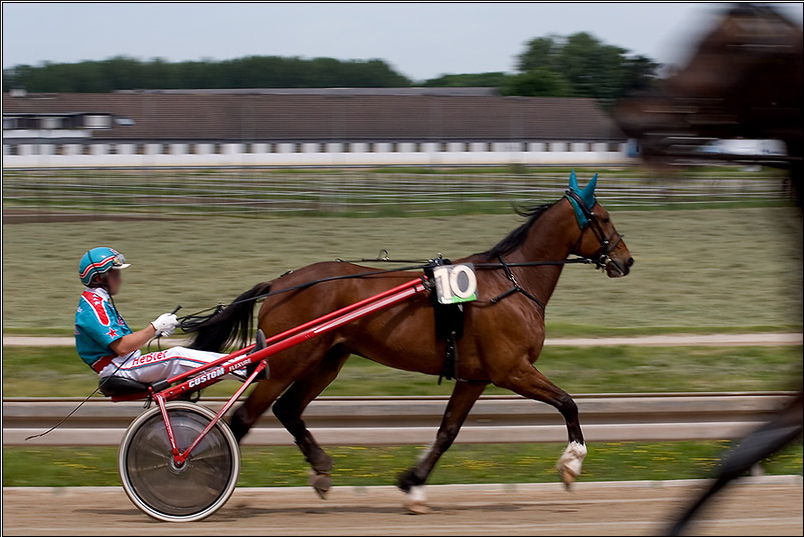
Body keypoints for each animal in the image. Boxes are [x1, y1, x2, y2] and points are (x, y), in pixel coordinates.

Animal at [188, 172, 636, 510]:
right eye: (604, 217)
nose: (626, 260)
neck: (511, 282)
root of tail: (280, 284)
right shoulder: (512, 370)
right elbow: (567, 403)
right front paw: (571, 464)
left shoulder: (474, 378)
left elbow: (448, 431)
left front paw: (413, 483)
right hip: (287, 362)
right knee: (243, 419)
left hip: (327, 359)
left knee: (288, 410)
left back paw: (320, 469)